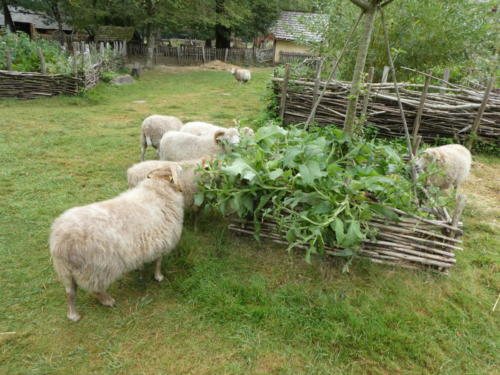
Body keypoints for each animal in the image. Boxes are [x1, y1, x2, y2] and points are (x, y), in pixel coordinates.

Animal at [50, 165, 186, 324]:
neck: (158, 189)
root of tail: (60, 240)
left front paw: (140, 268)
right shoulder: (163, 241)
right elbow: (159, 261)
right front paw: (159, 276)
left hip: (65, 271)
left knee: (70, 293)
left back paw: (73, 315)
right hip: (96, 267)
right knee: (96, 289)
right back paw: (108, 301)